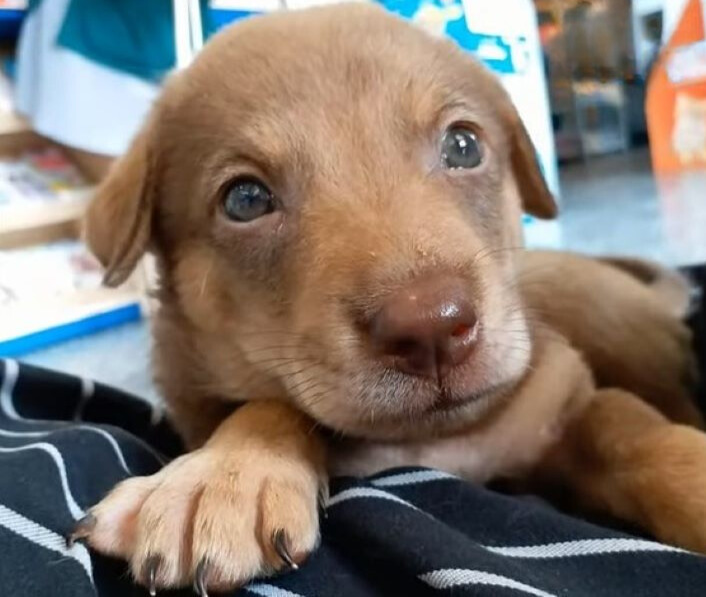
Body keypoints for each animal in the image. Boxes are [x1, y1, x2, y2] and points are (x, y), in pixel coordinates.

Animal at [78, 3, 704, 592]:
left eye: (463, 145)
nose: (432, 327)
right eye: (246, 200)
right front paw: (223, 476)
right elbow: (269, 403)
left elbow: (635, 431)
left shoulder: (567, 399)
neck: (435, 440)